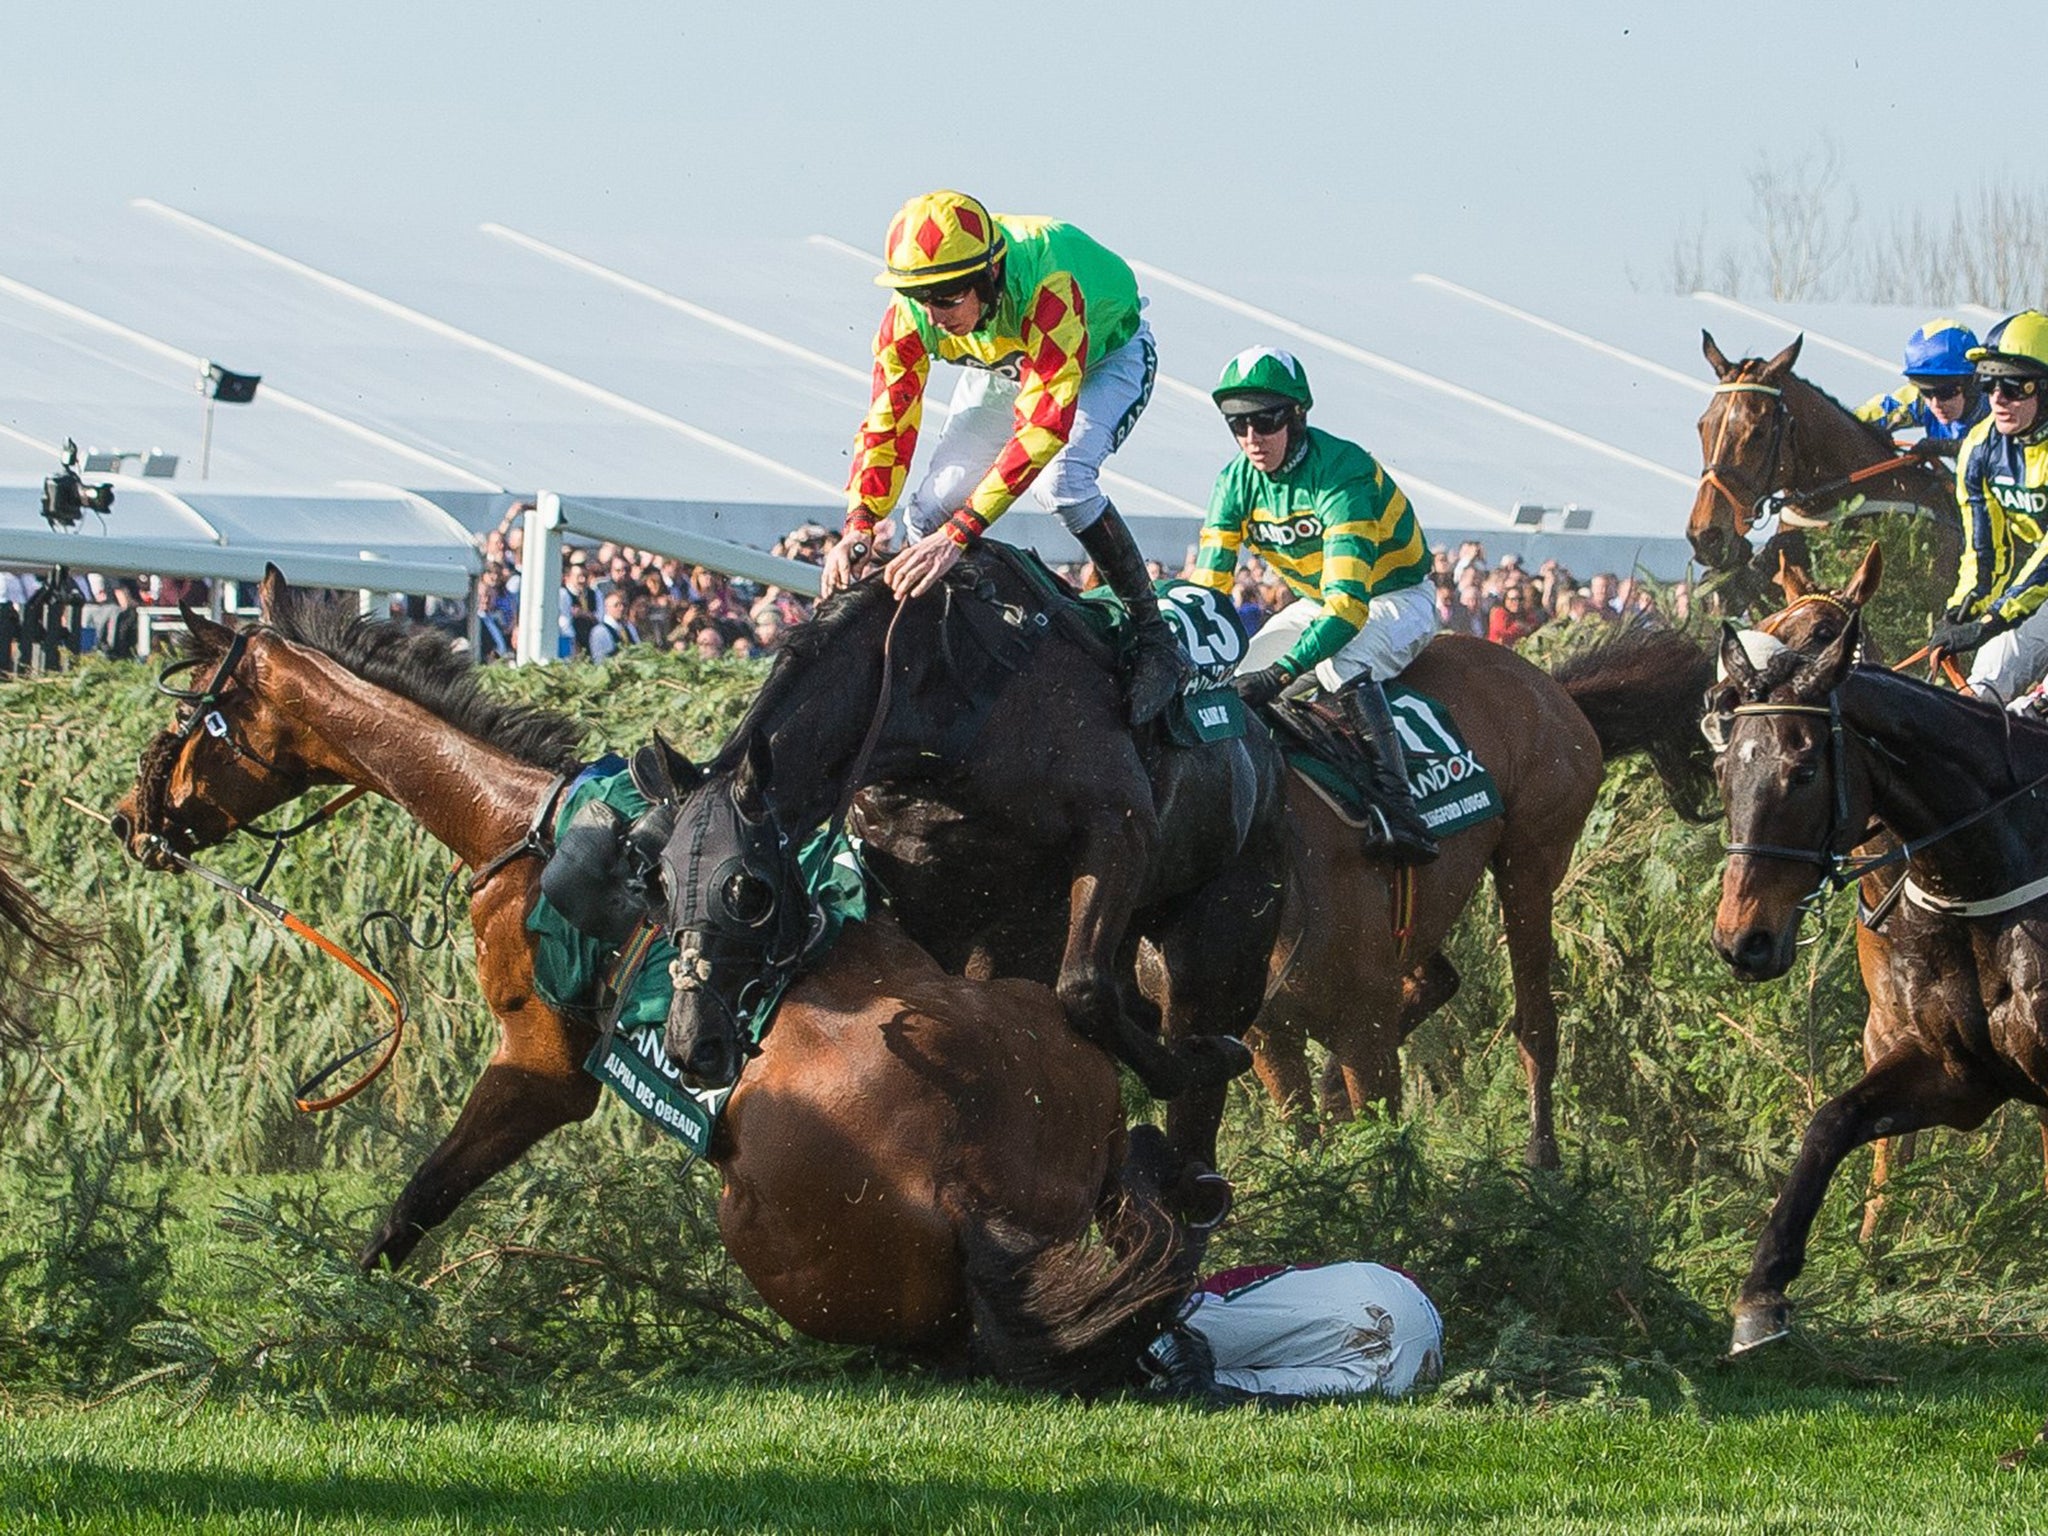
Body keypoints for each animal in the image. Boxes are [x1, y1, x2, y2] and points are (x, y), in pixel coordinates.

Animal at [112, 573, 1212, 1392]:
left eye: (192, 709)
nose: (131, 821)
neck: (530, 825)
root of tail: (973, 1200)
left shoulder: (540, 1064)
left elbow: (419, 1194)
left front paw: (335, 1312)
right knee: (1138, 1187)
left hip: (760, 1225)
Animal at [1236, 630, 1720, 1171]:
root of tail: (1550, 684)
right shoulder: (1270, 1037)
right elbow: (1305, 1147)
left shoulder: (1365, 1021)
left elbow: (1385, 1147)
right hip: (1423, 906)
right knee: (1439, 979)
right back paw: (1336, 1089)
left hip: (1529, 865)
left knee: (1534, 1021)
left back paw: (1541, 1153)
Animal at [1703, 606, 2048, 1351]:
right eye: (1724, 770)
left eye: (1804, 770)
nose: (1742, 941)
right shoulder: (1956, 1068)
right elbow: (1832, 1123)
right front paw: (1763, 1290)